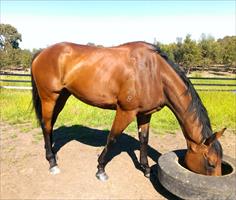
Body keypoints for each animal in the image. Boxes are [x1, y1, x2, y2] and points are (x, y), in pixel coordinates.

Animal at [30, 41, 226, 180]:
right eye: (210, 163)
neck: (154, 73)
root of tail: (41, 53)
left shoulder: (145, 114)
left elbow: (144, 140)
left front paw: (146, 168)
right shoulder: (125, 111)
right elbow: (112, 138)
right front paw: (101, 169)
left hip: (62, 96)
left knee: (50, 124)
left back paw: (52, 152)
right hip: (49, 97)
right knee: (46, 125)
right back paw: (52, 162)